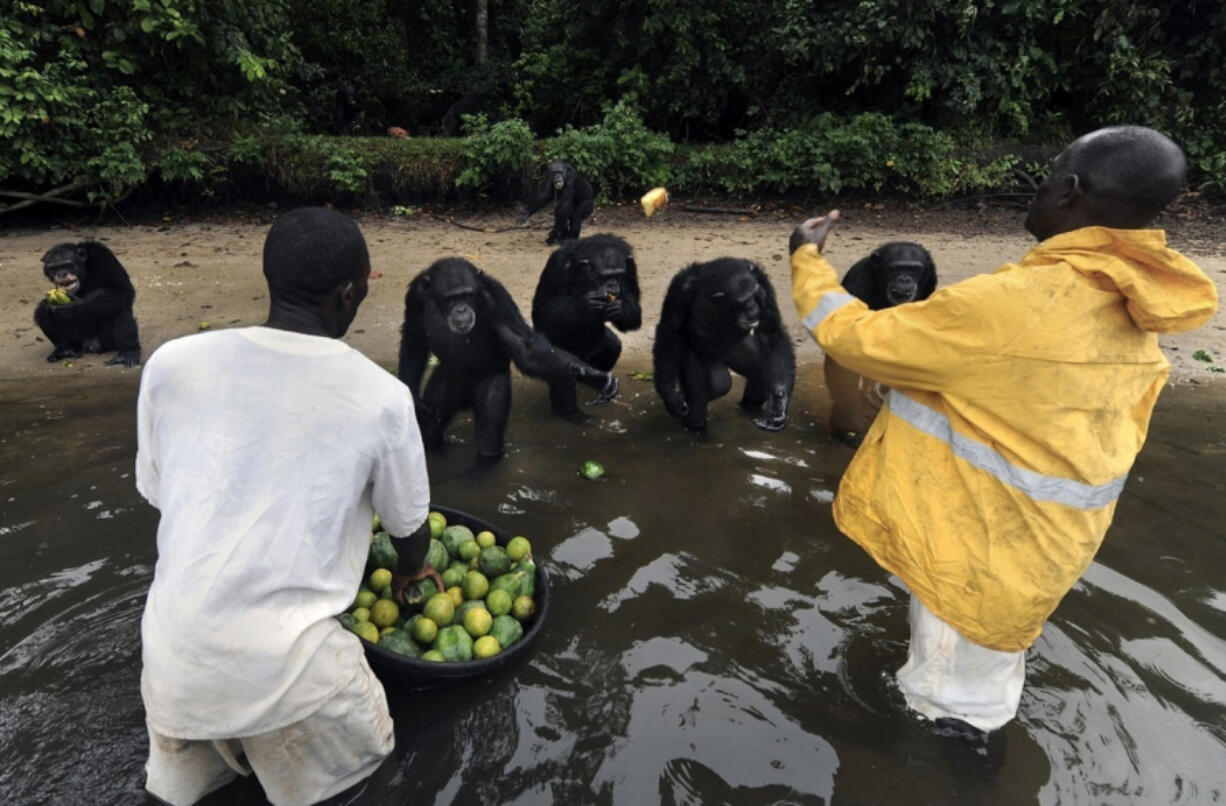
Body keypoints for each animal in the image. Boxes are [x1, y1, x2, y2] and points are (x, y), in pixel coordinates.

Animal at [397, 257, 617, 458]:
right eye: (450, 298)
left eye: (467, 295)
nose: (461, 309)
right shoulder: (415, 295)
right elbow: (414, 336)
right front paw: (414, 398)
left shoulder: (497, 298)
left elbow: (525, 347)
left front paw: (593, 375)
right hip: (445, 383)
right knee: (430, 430)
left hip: (493, 382)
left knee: (489, 434)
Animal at [534, 229, 647, 412]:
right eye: (605, 276)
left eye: (619, 275)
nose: (612, 285)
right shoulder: (557, 264)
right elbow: (542, 308)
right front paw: (584, 303)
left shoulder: (630, 266)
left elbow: (634, 310)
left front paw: (621, 308)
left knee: (612, 346)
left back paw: (596, 378)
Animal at [652, 257, 794, 434]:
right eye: (744, 301)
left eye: (755, 295)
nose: (753, 306)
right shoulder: (680, 289)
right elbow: (669, 329)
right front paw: (670, 395)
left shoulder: (761, 279)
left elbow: (770, 330)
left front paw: (778, 402)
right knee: (708, 390)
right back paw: (696, 426)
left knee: (761, 371)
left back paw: (748, 407)